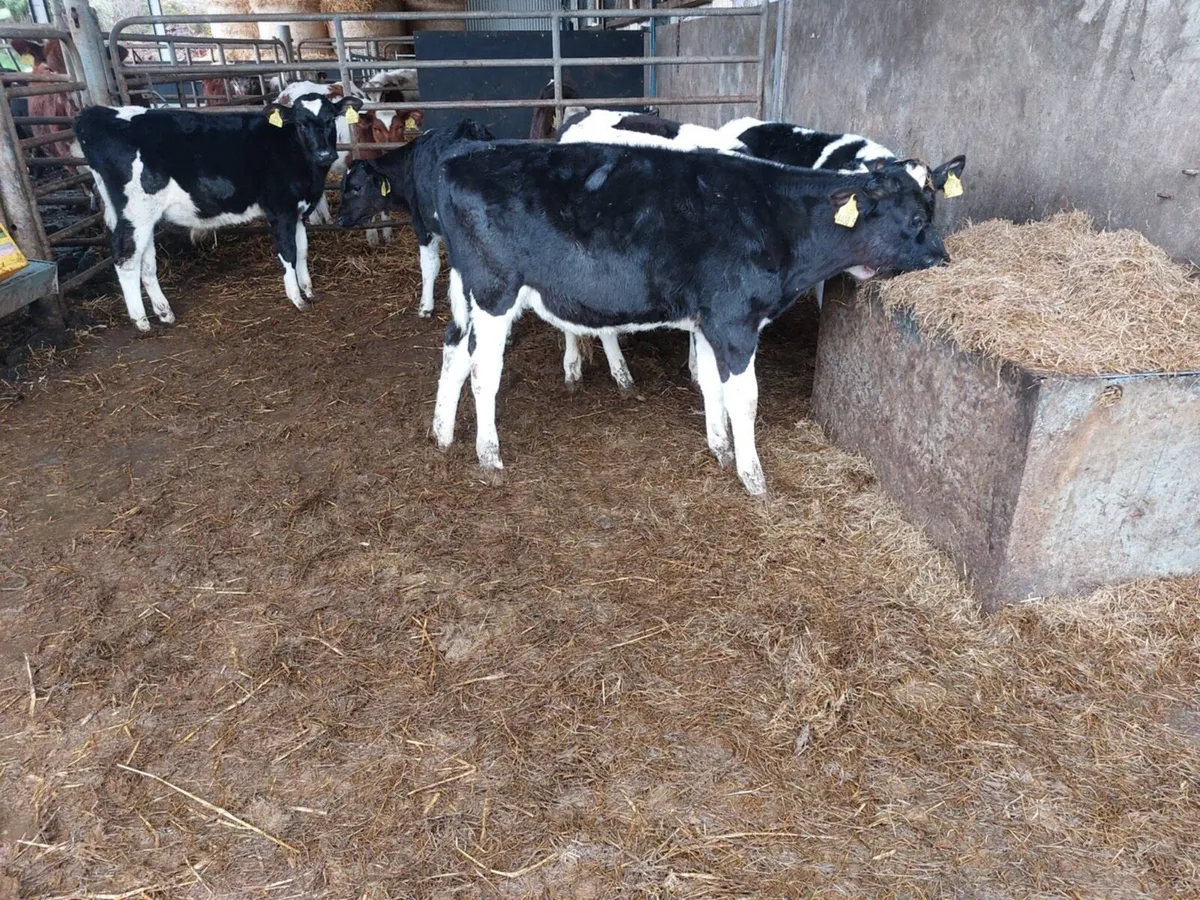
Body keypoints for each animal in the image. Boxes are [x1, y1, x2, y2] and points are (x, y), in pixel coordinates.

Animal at [74, 93, 363, 332]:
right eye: (301, 124)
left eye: (330, 119)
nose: (325, 154)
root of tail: (97, 114)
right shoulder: (280, 210)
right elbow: (288, 253)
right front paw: (296, 298)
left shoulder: (298, 211)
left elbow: (302, 250)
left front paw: (309, 290)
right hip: (136, 210)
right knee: (125, 257)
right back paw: (141, 320)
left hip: (144, 216)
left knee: (145, 260)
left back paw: (164, 312)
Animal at [336, 119, 494, 318]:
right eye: (342, 186)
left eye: (357, 187)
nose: (339, 218)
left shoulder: (422, 225)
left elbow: (429, 265)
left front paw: (426, 306)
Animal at [429, 141, 950, 496]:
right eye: (917, 220)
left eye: (934, 205)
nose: (945, 259)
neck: (779, 219)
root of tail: (459, 161)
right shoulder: (735, 320)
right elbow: (745, 398)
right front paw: (752, 476)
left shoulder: (707, 321)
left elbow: (711, 386)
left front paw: (720, 447)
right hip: (494, 293)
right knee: (483, 372)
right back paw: (489, 455)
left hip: (471, 297)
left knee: (454, 351)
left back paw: (442, 435)